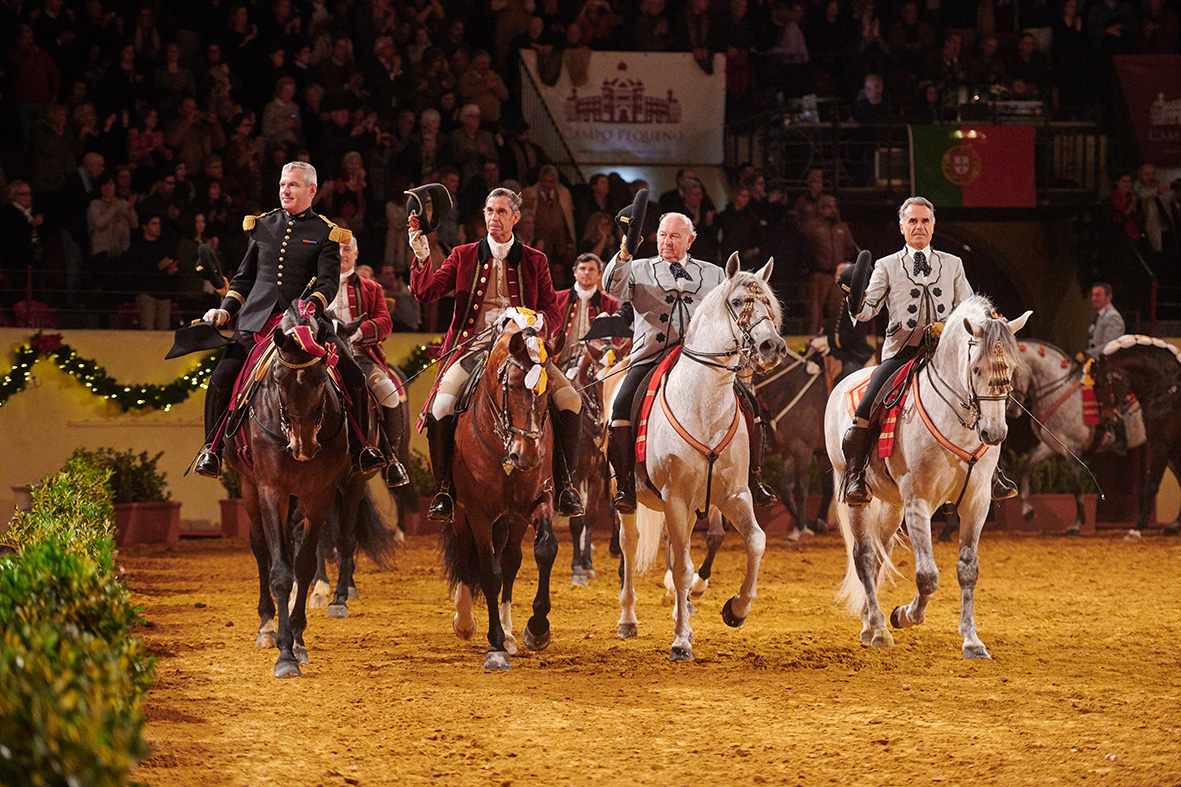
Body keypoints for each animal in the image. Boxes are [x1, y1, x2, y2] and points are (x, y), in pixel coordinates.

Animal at [444, 316, 562, 666]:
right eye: (510, 386)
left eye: (548, 387)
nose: (528, 456)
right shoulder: (478, 512)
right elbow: (488, 571)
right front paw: (494, 642)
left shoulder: (538, 500)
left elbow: (543, 550)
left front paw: (536, 628)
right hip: (460, 512)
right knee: (464, 549)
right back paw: (465, 621)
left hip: (513, 517)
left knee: (510, 559)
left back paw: (509, 633)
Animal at [618, 254, 784, 657]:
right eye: (738, 302)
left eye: (770, 304)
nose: (772, 346)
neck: (704, 404)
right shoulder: (675, 498)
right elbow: (681, 568)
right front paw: (680, 641)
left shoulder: (734, 494)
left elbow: (756, 542)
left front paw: (736, 609)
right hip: (630, 498)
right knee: (629, 544)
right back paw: (628, 619)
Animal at [826, 294, 1029, 657]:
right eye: (976, 369)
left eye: (1011, 369)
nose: (994, 433)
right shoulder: (919, 502)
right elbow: (928, 575)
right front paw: (905, 615)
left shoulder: (976, 504)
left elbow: (967, 571)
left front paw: (972, 641)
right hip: (857, 498)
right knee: (864, 556)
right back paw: (879, 629)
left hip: (892, 505)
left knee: (879, 555)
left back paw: (869, 621)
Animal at [1086, 337, 1181, 538]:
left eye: (1102, 383)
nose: (1106, 419)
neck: (1166, 392)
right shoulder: (1173, 448)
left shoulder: (1162, 445)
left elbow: (1151, 485)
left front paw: (1136, 529)